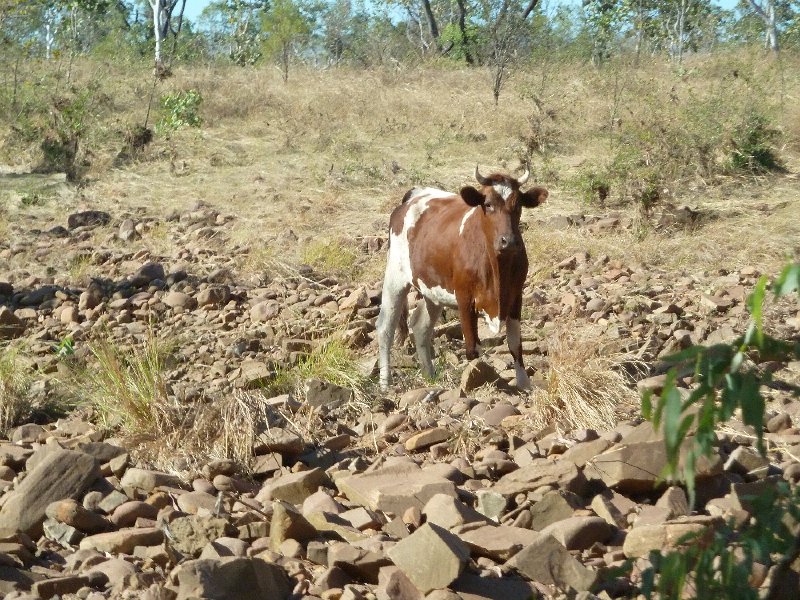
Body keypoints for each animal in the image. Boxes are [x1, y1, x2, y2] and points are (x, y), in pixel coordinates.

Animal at [378, 164, 548, 392]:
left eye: (518, 205)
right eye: (488, 204)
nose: (509, 241)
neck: (497, 270)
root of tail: (414, 194)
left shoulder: (515, 295)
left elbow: (515, 342)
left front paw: (524, 384)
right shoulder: (464, 297)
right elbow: (473, 348)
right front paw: (478, 380)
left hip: (433, 289)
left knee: (420, 326)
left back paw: (430, 375)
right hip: (395, 277)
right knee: (385, 327)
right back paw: (385, 383)